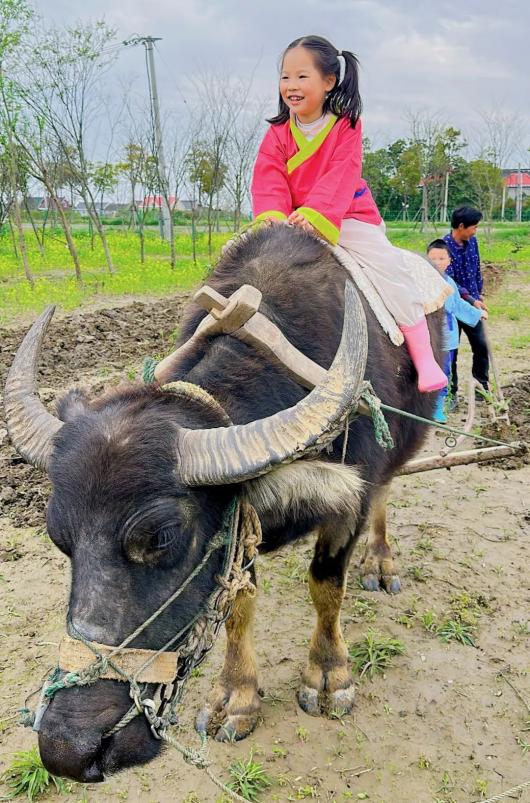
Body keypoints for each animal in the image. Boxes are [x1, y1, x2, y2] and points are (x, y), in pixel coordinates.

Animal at [5, 226, 442, 784]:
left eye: (161, 537)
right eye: (59, 539)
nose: (68, 747)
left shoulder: (350, 501)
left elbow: (326, 587)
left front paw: (328, 676)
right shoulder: (239, 523)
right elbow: (238, 603)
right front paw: (236, 697)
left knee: (388, 491)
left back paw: (380, 562)